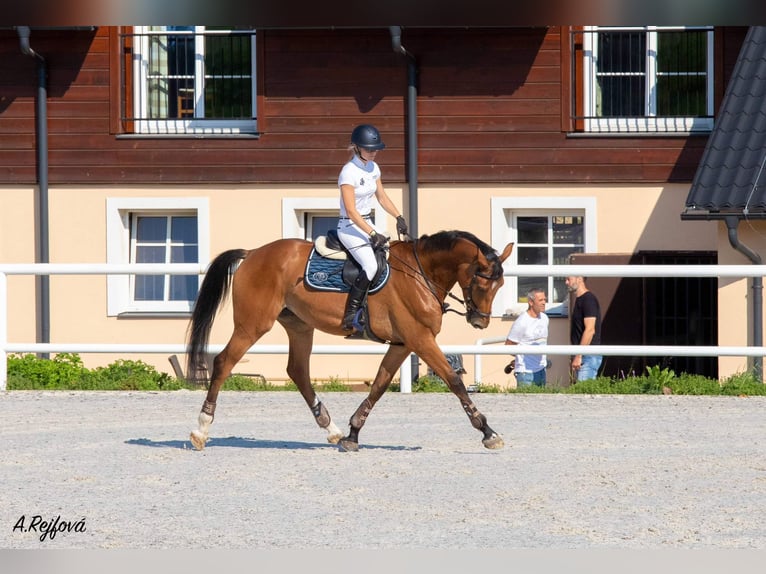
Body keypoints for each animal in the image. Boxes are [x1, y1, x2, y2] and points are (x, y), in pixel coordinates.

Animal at [186, 230, 514, 452]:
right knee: (224, 362)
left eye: (500, 285)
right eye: (481, 282)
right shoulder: (420, 339)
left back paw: (329, 427)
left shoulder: (403, 343)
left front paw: (352, 434)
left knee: (297, 370)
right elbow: (454, 380)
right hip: (252, 325)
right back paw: (201, 429)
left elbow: (379, 385)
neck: (421, 274)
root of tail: (253, 252)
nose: (481, 321)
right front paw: (488, 431)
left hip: (299, 325)